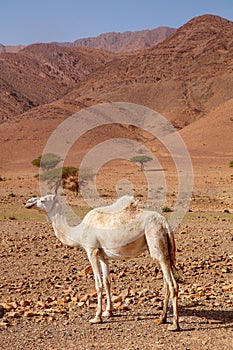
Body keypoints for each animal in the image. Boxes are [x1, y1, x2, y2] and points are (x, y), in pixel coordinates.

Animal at [24, 194, 179, 330]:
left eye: (43, 200)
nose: (28, 202)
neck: (78, 232)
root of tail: (165, 224)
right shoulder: (103, 257)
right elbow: (107, 281)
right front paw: (108, 312)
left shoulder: (91, 251)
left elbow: (98, 284)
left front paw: (97, 317)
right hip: (164, 251)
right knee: (167, 282)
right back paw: (162, 318)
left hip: (156, 243)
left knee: (172, 284)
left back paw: (174, 325)